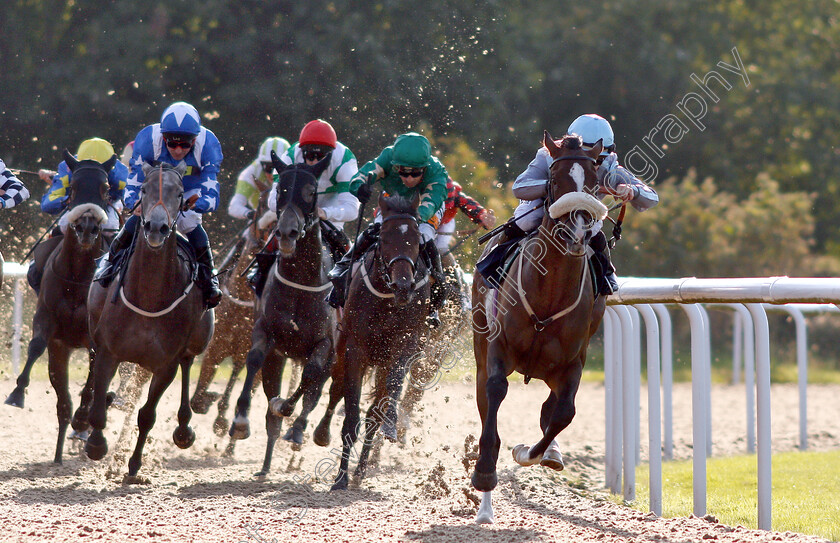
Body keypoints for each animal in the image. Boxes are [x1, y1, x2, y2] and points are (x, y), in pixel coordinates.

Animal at [4, 150, 115, 464]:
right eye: (72, 187)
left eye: (105, 188)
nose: (88, 227)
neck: (77, 277)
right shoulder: (49, 321)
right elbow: (36, 345)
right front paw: (17, 392)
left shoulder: (94, 335)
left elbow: (94, 374)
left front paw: (84, 416)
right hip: (61, 350)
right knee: (62, 402)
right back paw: (58, 452)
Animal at [85, 162, 213, 480]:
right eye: (143, 189)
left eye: (179, 193)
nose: (156, 227)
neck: (149, 296)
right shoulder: (109, 352)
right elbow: (99, 408)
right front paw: (96, 444)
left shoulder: (165, 364)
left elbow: (147, 415)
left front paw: (133, 466)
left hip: (194, 343)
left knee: (188, 365)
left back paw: (183, 429)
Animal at [230, 152, 338, 476]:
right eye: (280, 189)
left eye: (311, 191)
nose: (287, 232)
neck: (302, 282)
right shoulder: (266, 333)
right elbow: (253, 360)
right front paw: (240, 420)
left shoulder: (324, 344)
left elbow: (310, 378)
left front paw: (291, 416)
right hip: (278, 360)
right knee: (272, 405)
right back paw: (265, 464)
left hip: (332, 359)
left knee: (314, 390)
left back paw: (298, 428)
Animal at [328, 192, 434, 492]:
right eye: (384, 238)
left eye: (417, 240)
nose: (403, 287)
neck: (386, 301)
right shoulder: (354, 350)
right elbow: (351, 416)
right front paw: (340, 478)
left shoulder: (404, 347)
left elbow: (389, 396)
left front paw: (389, 426)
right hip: (339, 354)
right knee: (334, 391)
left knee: (375, 413)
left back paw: (363, 468)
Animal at [470, 132, 608, 524]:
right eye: (555, 181)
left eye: (594, 184)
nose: (577, 231)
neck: (549, 294)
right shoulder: (499, 350)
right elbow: (495, 395)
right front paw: (484, 473)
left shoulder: (573, 362)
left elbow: (564, 413)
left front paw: (533, 452)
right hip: (480, 348)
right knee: (485, 400)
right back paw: (485, 509)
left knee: (552, 407)